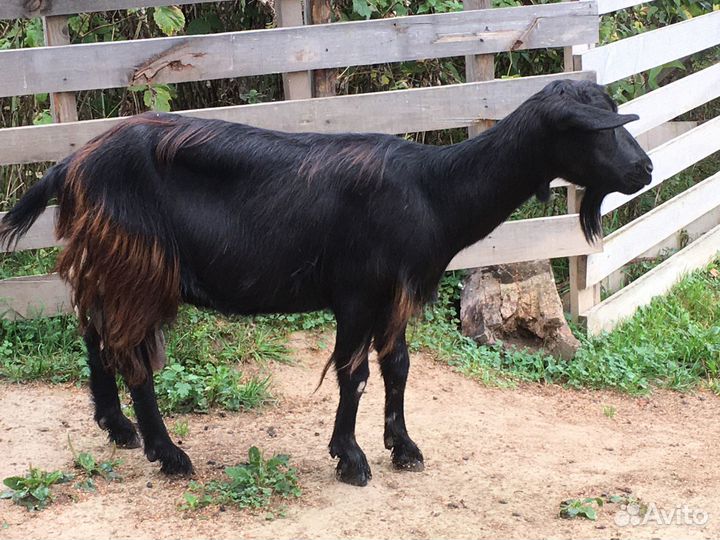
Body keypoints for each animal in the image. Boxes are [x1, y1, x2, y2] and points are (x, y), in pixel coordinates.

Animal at [0, 79, 652, 486]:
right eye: (596, 128)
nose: (644, 169)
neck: (433, 190)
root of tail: (72, 164)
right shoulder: (359, 293)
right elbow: (354, 375)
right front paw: (351, 458)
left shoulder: (393, 297)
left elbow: (398, 369)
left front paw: (403, 448)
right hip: (139, 267)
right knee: (132, 357)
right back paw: (170, 454)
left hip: (110, 264)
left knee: (95, 336)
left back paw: (118, 429)